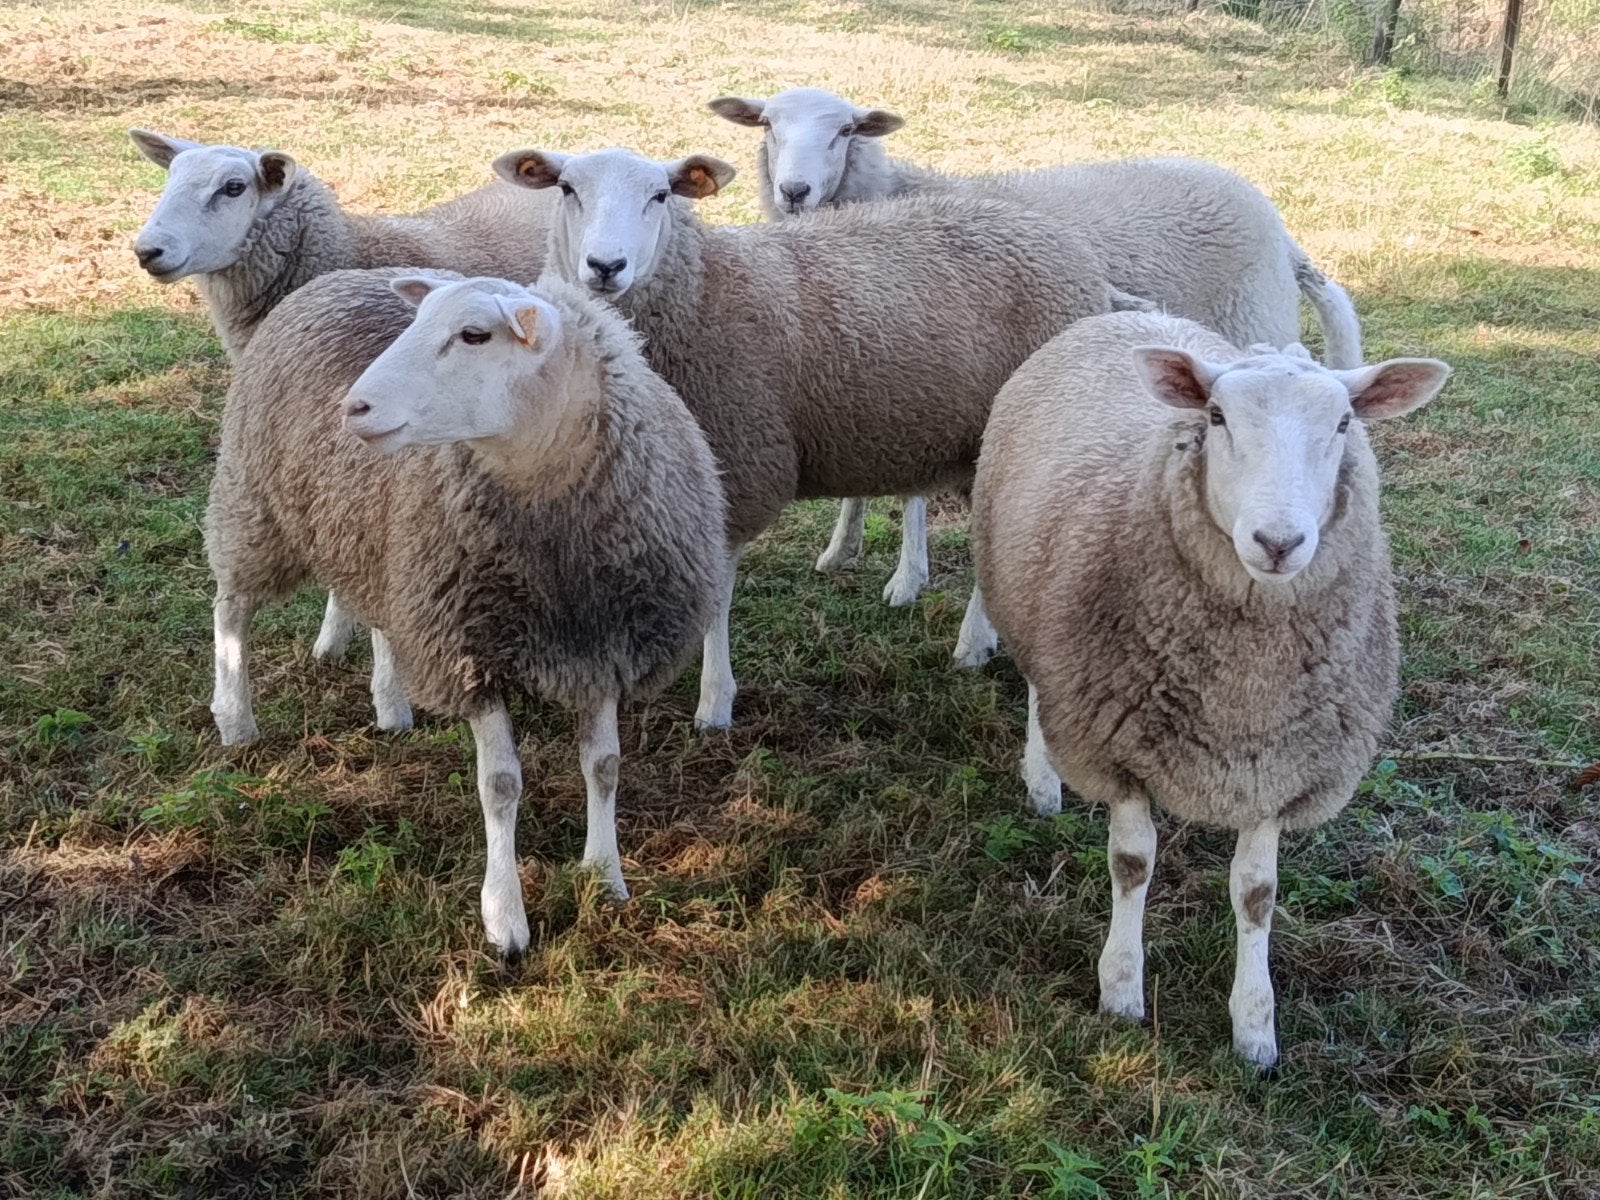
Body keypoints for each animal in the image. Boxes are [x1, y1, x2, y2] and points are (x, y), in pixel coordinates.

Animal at [205, 267, 727, 963]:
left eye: (475, 335)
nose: (352, 407)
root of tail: (336, 276)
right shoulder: (469, 650)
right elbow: (500, 786)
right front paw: (505, 920)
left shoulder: (600, 644)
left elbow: (605, 767)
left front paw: (605, 876)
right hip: (252, 501)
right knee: (230, 607)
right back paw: (235, 717)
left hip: (379, 538)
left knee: (380, 616)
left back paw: (391, 703)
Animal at [490, 145, 1118, 729]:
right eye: (567, 188)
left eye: (661, 195)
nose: (605, 265)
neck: (703, 290)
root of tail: (1070, 250)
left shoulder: (740, 465)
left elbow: (718, 595)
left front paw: (715, 701)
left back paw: (972, 643)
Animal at [710, 87, 1363, 622]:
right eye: (767, 125)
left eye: (845, 130)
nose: (794, 192)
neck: (893, 192)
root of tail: (1278, 228)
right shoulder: (863, 356)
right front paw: (841, 549)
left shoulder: (936, 359)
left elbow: (914, 491)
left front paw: (906, 578)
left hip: (1251, 321)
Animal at [970, 308, 1449, 1065]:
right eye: (1218, 416)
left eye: (1344, 423)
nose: (1278, 541)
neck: (1244, 690)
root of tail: (1133, 311)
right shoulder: (1117, 745)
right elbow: (1132, 864)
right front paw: (1120, 989)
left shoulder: (1280, 768)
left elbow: (1257, 895)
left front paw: (1255, 1028)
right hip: (1030, 605)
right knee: (1037, 691)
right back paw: (1043, 784)